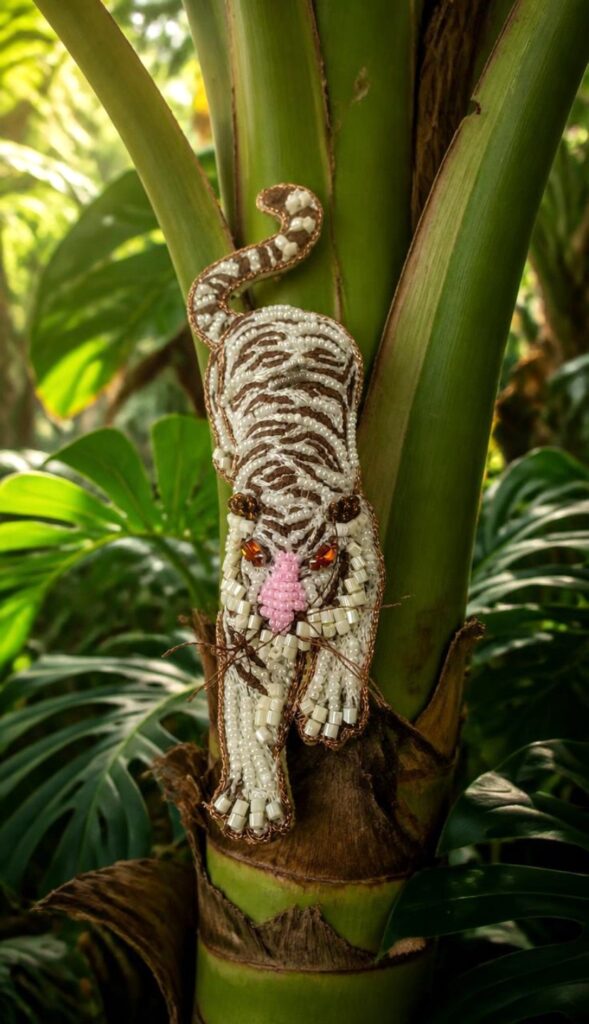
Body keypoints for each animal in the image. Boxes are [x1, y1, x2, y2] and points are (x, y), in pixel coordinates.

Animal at [187, 183, 384, 841]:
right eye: (254, 552)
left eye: (321, 557)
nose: (281, 618)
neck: (290, 483)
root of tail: (267, 313)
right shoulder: (237, 619)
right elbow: (246, 704)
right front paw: (250, 805)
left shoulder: (363, 543)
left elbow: (352, 623)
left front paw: (328, 707)